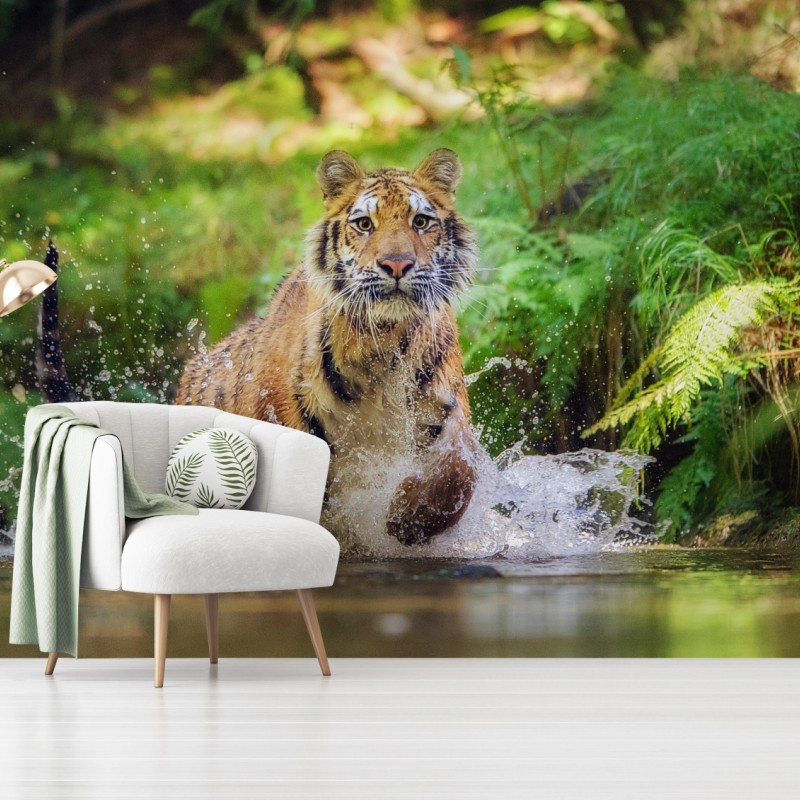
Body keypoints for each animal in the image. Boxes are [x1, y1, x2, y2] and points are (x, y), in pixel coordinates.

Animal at [176, 148, 479, 547]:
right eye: (364, 224)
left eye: (421, 221)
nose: (397, 264)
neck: (381, 345)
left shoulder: (447, 409)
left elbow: (459, 470)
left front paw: (408, 518)